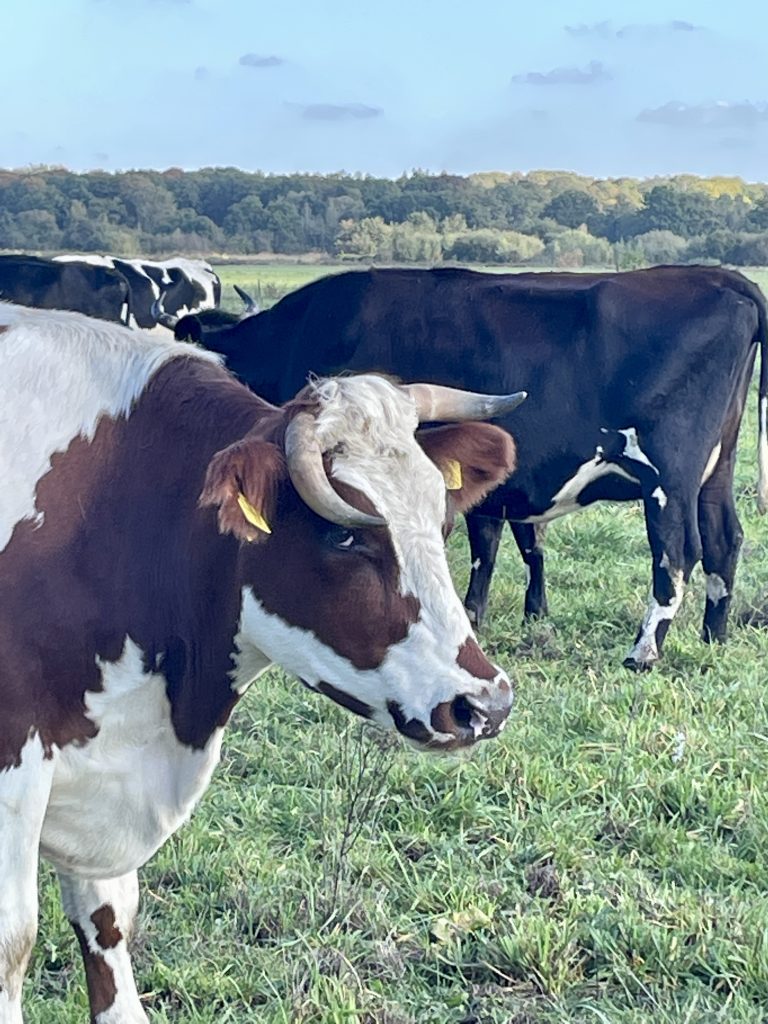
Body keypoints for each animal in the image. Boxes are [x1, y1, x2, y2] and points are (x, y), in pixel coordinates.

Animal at [170, 265, 768, 670]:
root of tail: (721, 276)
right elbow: (500, 545)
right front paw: (490, 616)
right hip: (715, 472)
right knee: (725, 539)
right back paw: (713, 635)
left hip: (670, 475)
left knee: (678, 551)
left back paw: (643, 652)